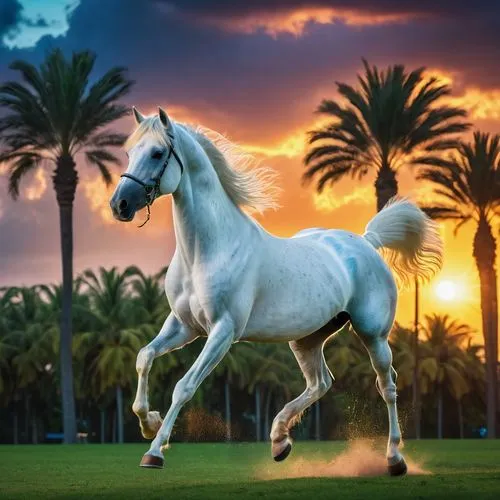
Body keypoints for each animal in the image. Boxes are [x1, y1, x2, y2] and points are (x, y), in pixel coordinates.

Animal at [109, 107, 442, 474]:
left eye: (157, 153)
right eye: (130, 151)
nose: (119, 205)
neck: (207, 251)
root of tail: (367, 241)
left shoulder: (222, 331)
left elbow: (184, 386)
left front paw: (154, 450)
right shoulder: (184, 326)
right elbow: (144, 357)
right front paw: (148, 422)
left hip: (373, 334)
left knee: (388, 386)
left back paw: (394, 458)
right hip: (307, 339)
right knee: (321, 382)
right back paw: (280, 440)